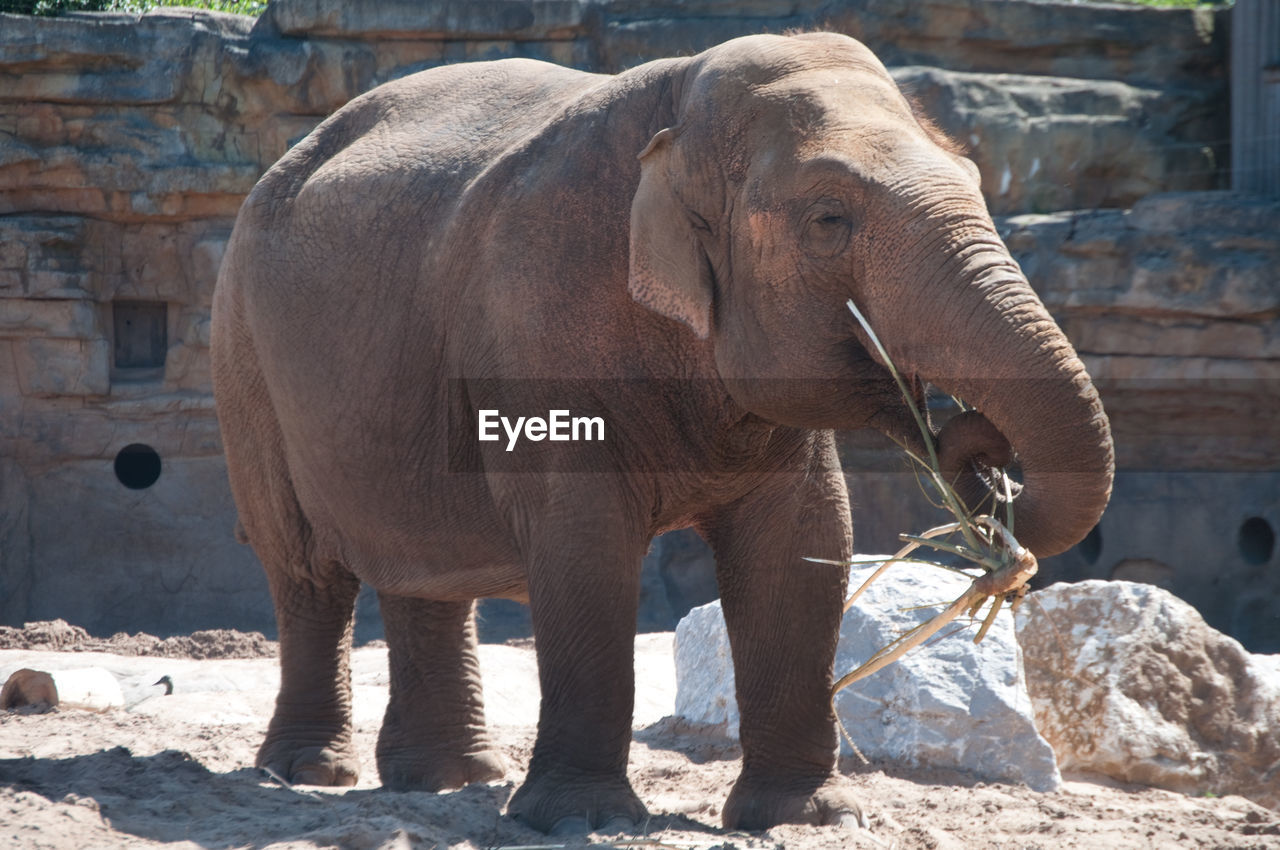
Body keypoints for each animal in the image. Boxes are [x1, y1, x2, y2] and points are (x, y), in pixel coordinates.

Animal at [212, 29, 1111, 834]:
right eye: (829, 220)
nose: (976, 449)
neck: (677, 114)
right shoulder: (539, 314)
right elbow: (585, 545)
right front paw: (582, 820)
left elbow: (805, 542)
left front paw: (809, 818)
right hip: (242, 344)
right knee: (306, 566)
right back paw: (311, 770)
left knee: (422, 563)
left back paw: (449, 778)